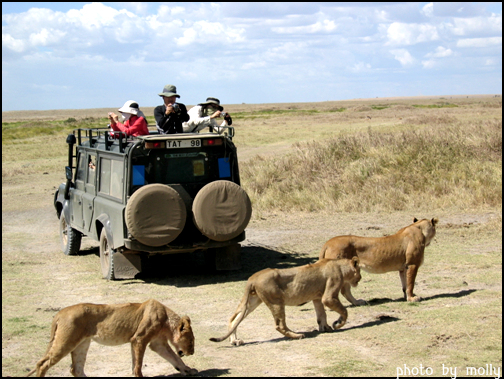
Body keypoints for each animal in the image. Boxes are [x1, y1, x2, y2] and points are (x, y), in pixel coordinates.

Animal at [27, 302, 197, 378]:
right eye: (191, 341)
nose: (192, 352)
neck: (166, 321)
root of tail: (60, 313)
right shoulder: (139, 339)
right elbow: (138, 364)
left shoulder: (157, 343)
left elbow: (174, 358)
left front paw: (187, 369)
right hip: (66, 341)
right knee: (42, 364)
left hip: (82, 344)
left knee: (76, 369)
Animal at [211, 258, 360, 348]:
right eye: (359, 272)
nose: (360, 278)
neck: (340, 266)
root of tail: (252, 278)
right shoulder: (328, 296)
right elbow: (344, 311)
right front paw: (338, 324)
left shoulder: (317, 298)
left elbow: (321, 314)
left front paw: (326, 328)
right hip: (276, 301)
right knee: (280, 325)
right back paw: (297, 335)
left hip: (252, 301)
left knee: (234, 319)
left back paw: (235, 341)